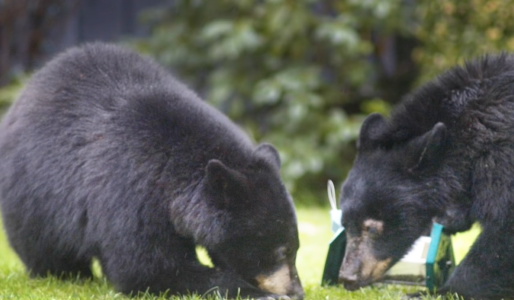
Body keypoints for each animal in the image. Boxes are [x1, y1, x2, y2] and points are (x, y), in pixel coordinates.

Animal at [0, 42, 304, 300]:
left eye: (295, 247)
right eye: (281, 251)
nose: (298, 291)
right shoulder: (131, 190)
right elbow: (147, 267)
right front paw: (259, 293)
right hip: (35, 192)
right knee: (44, 244)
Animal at [338, 54, 514, 300]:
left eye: (372, 228)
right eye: (344, 225)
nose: (347, 278)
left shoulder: (503, 158)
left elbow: (503, 233)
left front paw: (440, 292)